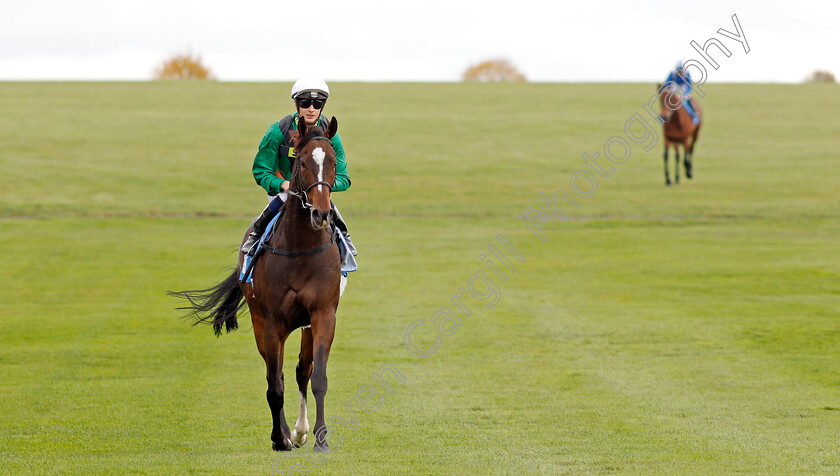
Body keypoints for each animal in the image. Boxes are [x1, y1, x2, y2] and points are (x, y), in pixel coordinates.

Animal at [171, 117, 342, 452]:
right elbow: (274, 384)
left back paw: (300, 431)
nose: (321, 213)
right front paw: (280, 437)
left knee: (302, 371)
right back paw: (288, 433)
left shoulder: (323, 314)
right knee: (277, 374)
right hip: (261, 321)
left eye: (332, 161)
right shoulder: (273, 321)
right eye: (302, 162)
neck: (300, 248)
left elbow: (317, 378)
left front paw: (320, 438)